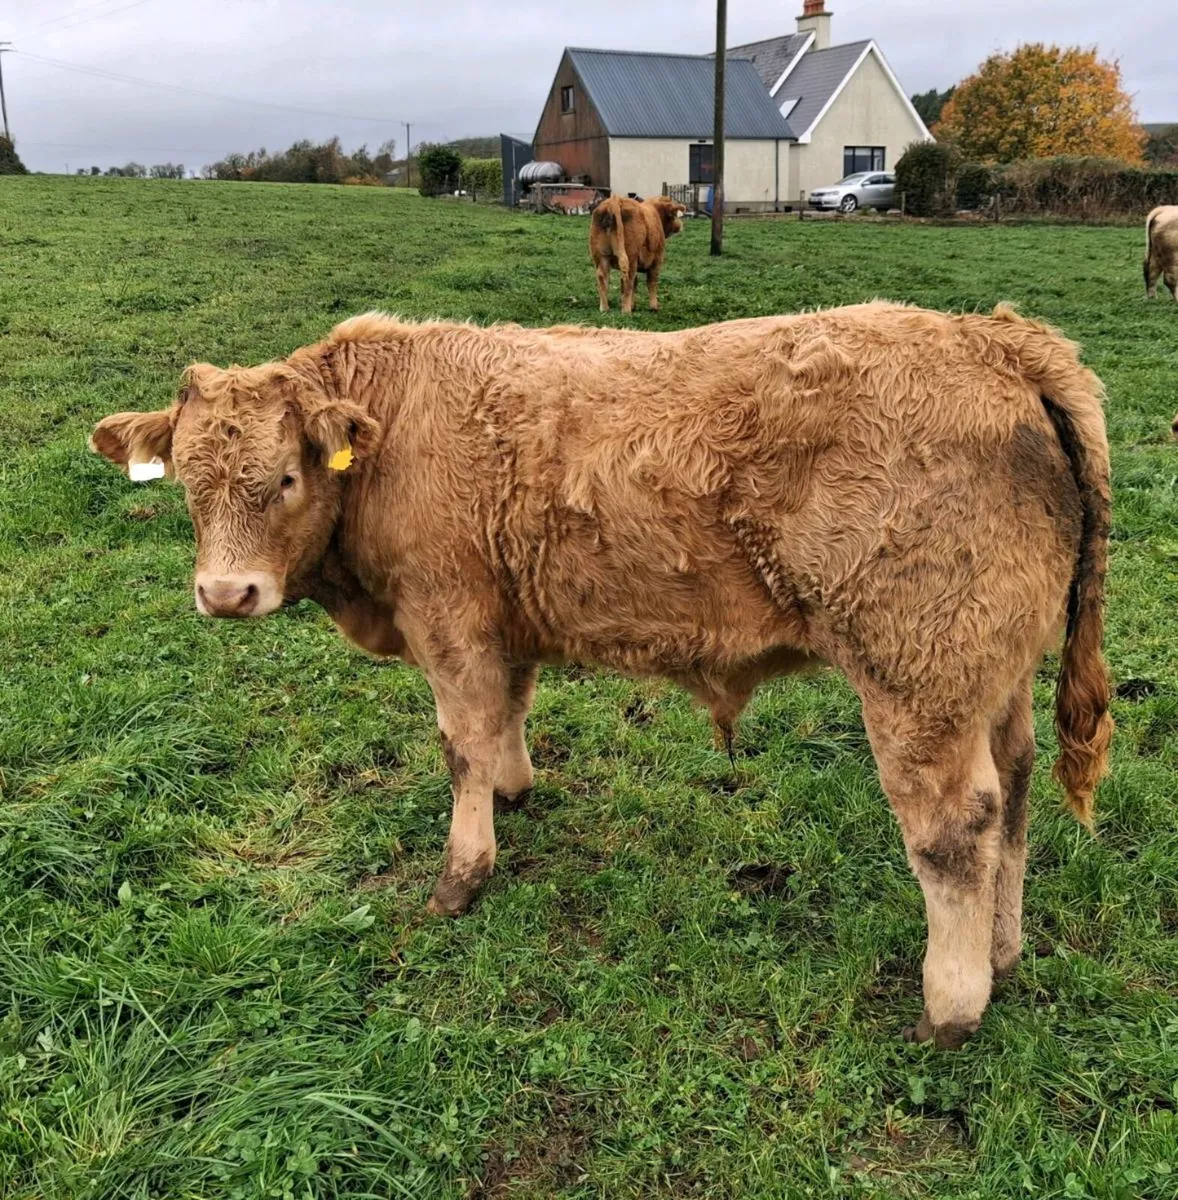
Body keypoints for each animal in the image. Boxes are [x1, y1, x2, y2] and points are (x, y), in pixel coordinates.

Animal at [90, 301, 1113, 1049]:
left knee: (954, 830)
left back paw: (953, 1001)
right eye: (186, 484)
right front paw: (516, 789)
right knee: (1016, 793)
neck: (394, 433)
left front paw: (463, 873)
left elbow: (461, 744)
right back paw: (1003, 953)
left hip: (919, 676)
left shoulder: (447, 614)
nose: (226, 594)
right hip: (989, 674)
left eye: (287, 480)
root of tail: (997, 338)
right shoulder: (503, 617)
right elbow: (508, 711)